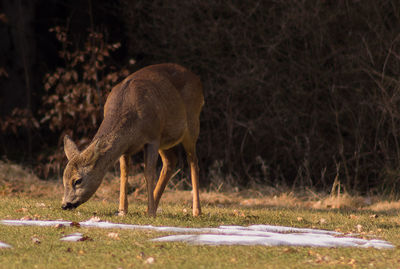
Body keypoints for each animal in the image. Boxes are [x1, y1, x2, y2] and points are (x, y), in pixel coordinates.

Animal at [61, 63, 205, 217]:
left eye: (77, 180)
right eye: (64, 179)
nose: (65, 204)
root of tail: (196, 79)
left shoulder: (152, 138)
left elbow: (148, 173)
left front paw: (151, 213)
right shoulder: (126, 147)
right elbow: (124, 173)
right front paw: (122, 210)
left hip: (192, 124)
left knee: (193, 162)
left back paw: (196, 211)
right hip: (165, 140)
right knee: (171, 161)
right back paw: (149, 207)